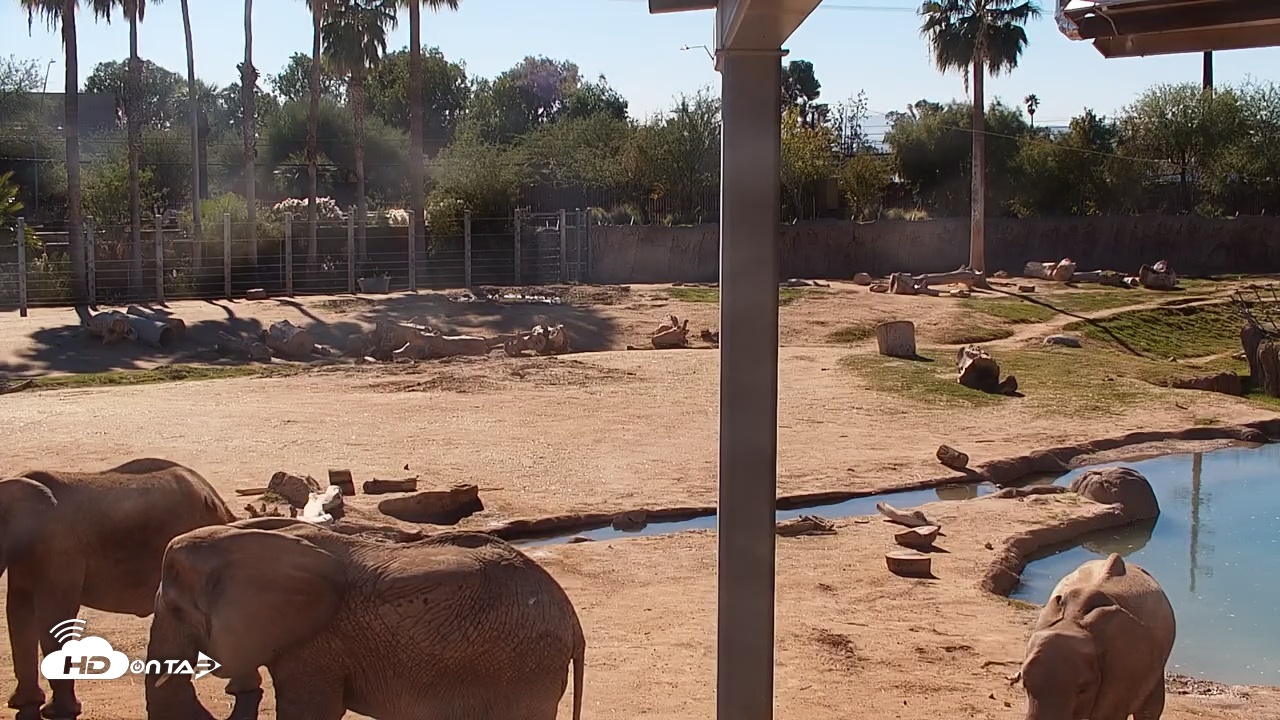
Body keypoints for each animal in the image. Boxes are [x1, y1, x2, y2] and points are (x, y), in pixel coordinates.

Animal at [0, 458, 236, 720]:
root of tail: (215, 498)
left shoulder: (60, 550)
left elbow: (55, 618)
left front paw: (55, 712)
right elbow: (18, 612)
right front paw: (21, 703)